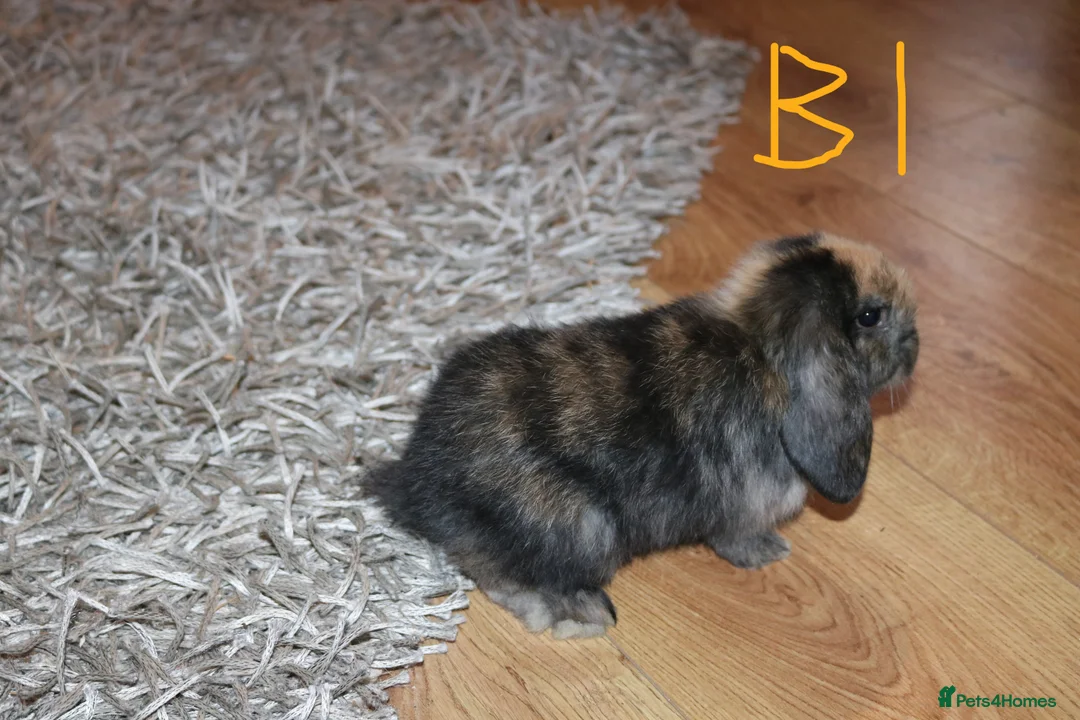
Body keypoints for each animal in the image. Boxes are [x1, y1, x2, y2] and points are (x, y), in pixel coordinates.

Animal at [364, 231, 919, 640]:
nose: (915, 345)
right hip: (584, 527)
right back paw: (581, 616)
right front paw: (769, 553)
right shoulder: (742, 508)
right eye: (870, 316)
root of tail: (421, 481)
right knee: (506, 574)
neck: (762, 348)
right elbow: (737, 539)